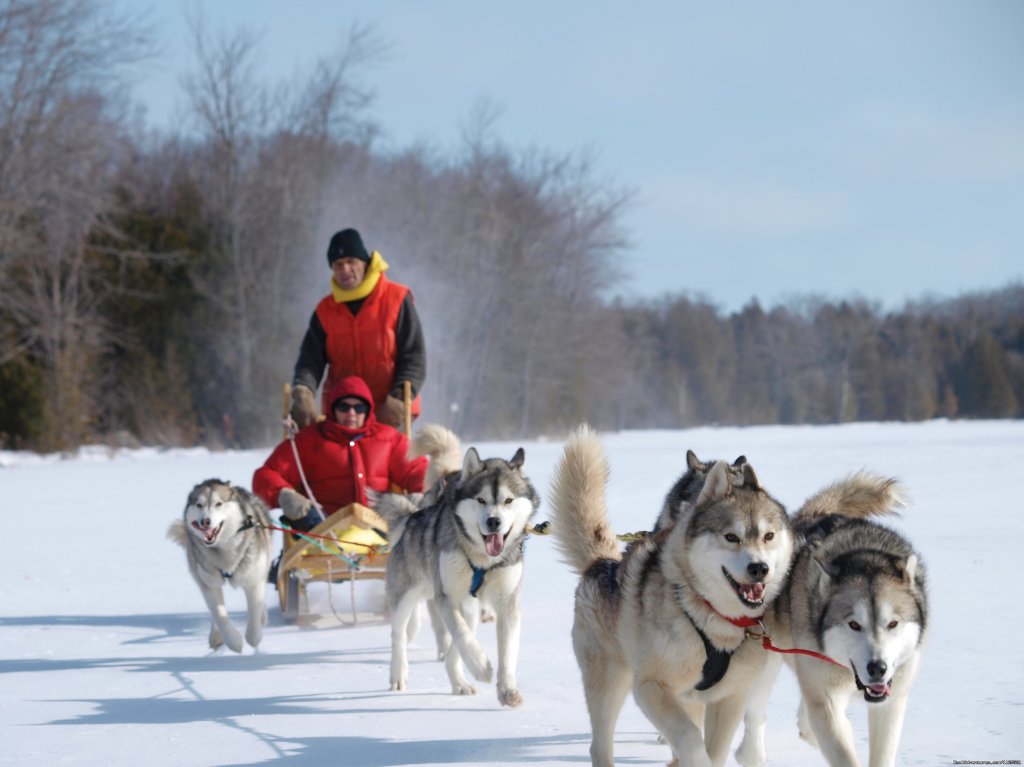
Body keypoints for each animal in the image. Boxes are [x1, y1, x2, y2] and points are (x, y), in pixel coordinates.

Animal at [166, 479, 272, 651]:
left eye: (219, 504)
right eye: (199, 505)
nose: (205, 521)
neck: (224, 553)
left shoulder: (253, 580)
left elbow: (254, 611)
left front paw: (254, 637)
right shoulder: (209, 584)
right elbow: (219, 615)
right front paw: (234, 642)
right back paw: (216, 636)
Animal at [378, 430, 540, 704]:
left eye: (508, 500)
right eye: (481, 499)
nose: (494, 521)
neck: (482, 560)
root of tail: (412, 518)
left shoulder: (506, 603)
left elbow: (505, 651)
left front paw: (507, 689)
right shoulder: (447, 596)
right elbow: (461, 635)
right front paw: (481, 666)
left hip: (471, 608)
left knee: (456, 645)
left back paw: (460, 683)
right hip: (405, 596)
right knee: (398, 635)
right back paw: (398, 674)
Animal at [548, 423, 794, 765]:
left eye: (768, 536)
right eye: (731, 537)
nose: (759, 568)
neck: (711, 617)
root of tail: (604, 563)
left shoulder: (729, 697)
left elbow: (714, 748)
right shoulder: (652, 686)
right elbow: (691, 740)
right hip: (610, 683)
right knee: (600, 743)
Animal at [737, 473, 929, 765]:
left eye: (893, 623)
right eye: (854, 624)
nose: (877, 668)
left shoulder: (891, 700)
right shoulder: (824, 698)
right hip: (769, 652)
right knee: (757, 708)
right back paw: (751, 753)